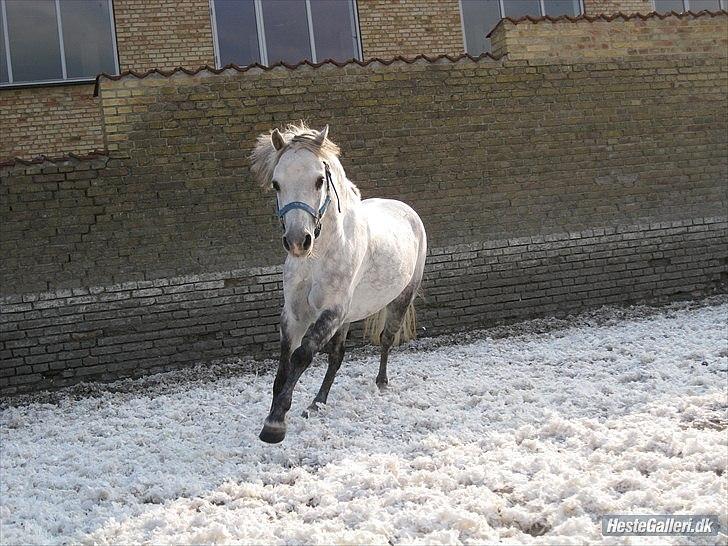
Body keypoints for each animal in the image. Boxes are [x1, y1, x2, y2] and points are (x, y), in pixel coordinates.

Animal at [250, 123, 427, 444]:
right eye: (276, 184)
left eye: (320, 180)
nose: (298, 241)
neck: (317, 257)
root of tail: (406, 210)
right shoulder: (294, 314)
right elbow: (284, 364)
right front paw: (274, 415)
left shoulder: (331, 312)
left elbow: (302, 356)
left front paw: (275, 425)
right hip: (345, 319)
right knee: (336, 356)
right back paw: (317, 402)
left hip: (400, 298)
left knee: (386, 339)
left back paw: (381, 383)